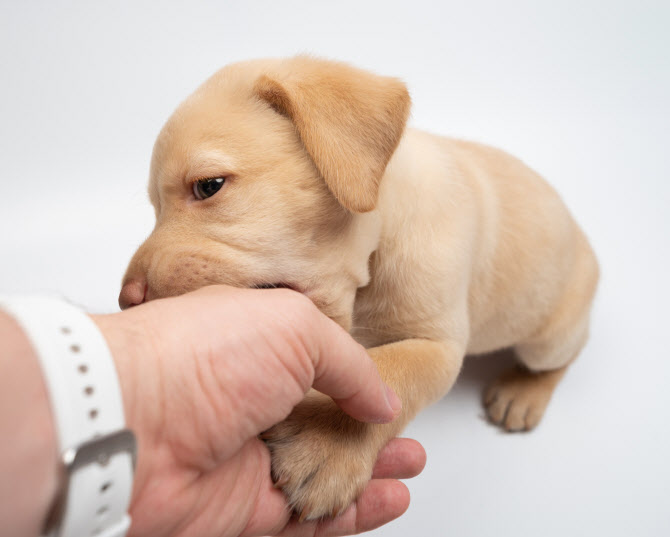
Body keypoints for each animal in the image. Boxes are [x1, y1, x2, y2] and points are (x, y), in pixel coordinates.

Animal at [122, 57, 604, 520]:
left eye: (209, 186)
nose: (126, 300)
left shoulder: (437, 343)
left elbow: (391, 371)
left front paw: (325, 446)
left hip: (550, 337)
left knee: (565, 354)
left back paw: (522, 392)